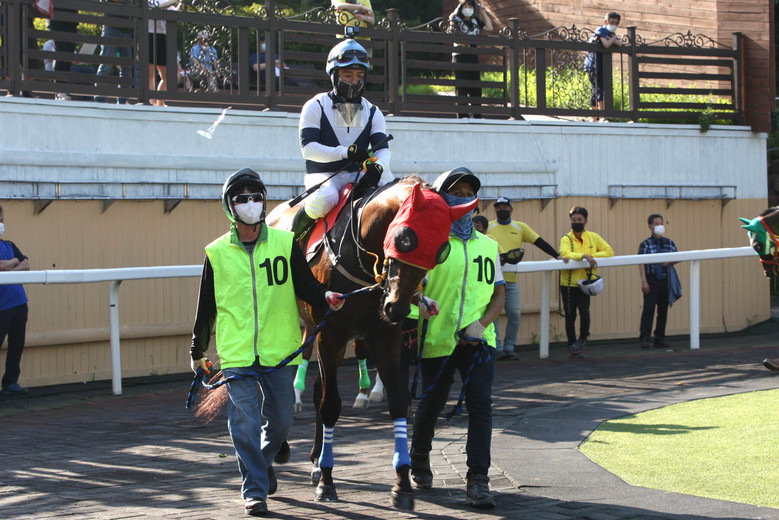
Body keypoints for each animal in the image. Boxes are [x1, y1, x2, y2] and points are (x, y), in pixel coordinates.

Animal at [266, 176, 477, 510]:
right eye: (405, 239)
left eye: (442, 249)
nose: (399, 308)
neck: (360, 257)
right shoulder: (331, 334)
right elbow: (330, 404)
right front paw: (327, 482)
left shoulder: (384, 336)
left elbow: (398, 401)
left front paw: (402, 484)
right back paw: (283, 451)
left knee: (316, 387)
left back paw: (314, 458)